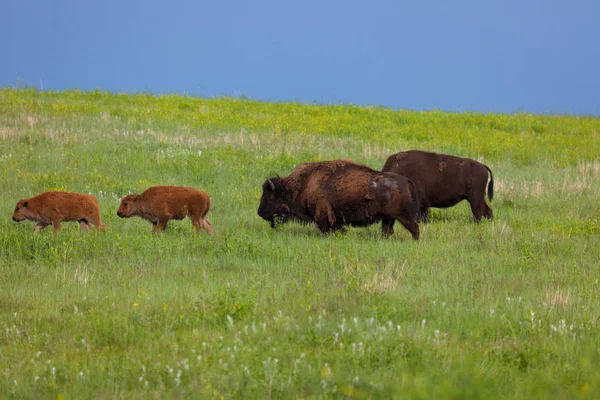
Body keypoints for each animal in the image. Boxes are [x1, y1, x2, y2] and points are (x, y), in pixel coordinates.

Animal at [258, 160, 422, 241]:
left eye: (268, 196)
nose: (259, 212)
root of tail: (407, 181)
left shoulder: (324, 216)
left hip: (405, 217)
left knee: (415, 229)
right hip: (388, 218)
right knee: (388, 230)